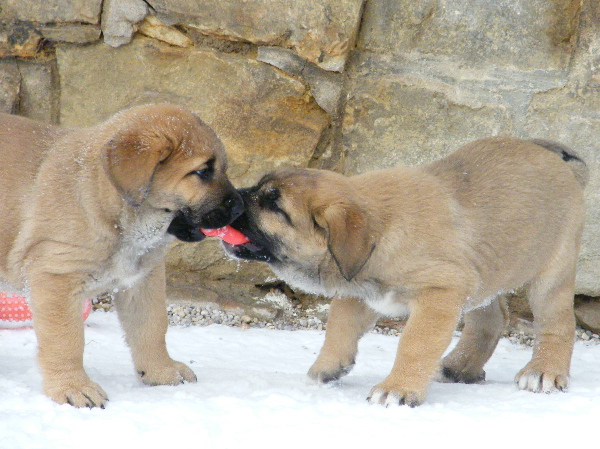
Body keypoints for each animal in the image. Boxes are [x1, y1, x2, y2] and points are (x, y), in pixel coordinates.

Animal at [0, 104, 244, 406]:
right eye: (202, 172)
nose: (241, 207)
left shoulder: (143, 278)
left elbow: (152, 326)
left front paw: (160, 370)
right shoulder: (56, 277)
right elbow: (65, 340)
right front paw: (72, 387)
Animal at [223, 136, 588, 406]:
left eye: (273, 204)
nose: (231, 200)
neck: (380, 229)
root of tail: (552, 155)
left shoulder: (439, 293)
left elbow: (415, 344)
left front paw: (398, 388)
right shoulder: (358, 292)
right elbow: (338, 327)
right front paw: (328, 366)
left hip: (551, 271)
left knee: (556, 323)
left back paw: (544, 371)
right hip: (484, 273)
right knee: (492, 318)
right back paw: (460, 366)